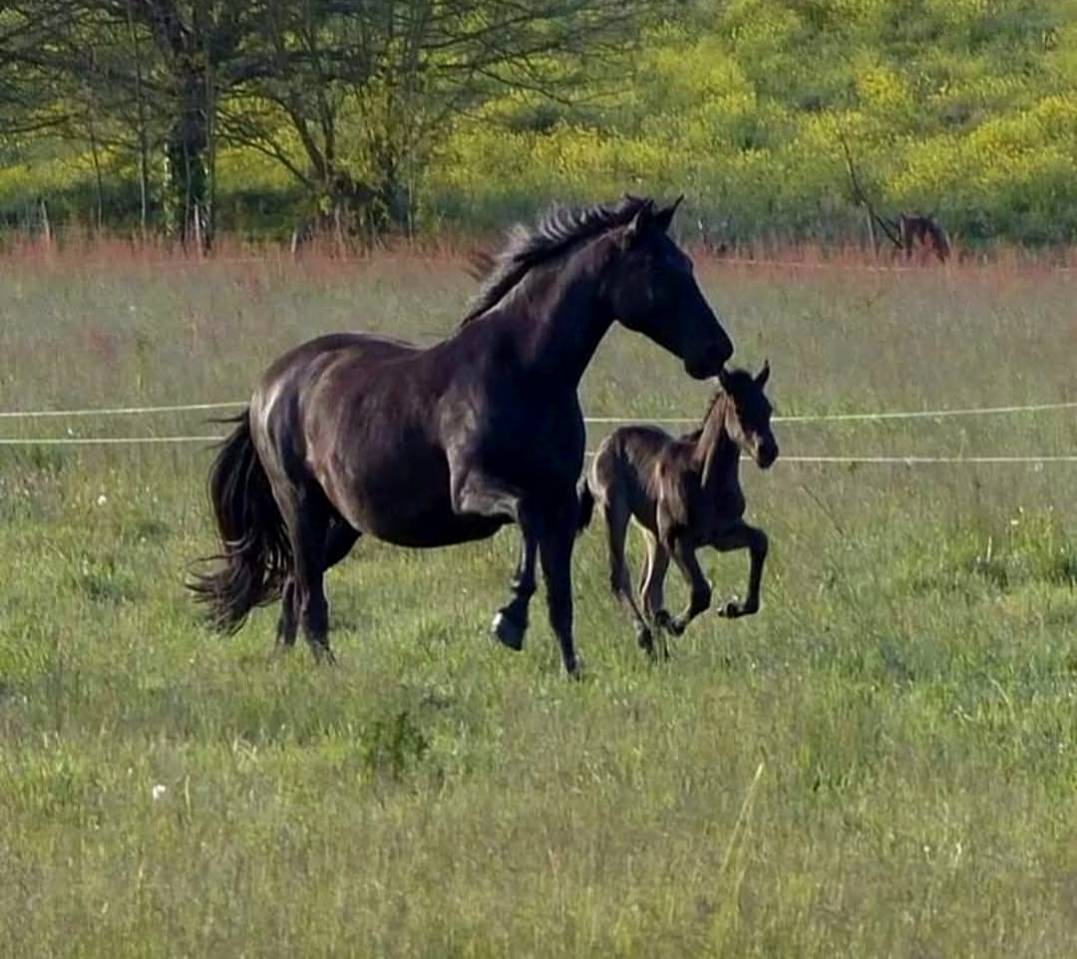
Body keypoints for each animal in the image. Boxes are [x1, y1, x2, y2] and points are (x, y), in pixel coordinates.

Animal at [189, 195, 735, 676]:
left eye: (687, 264)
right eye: (662, 270)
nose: (718, 350)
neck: (525, 370)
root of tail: (269, 385)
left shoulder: (560, 504)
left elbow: (560, 598)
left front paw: (572, 670)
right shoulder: (477, 492)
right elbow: (525, 523)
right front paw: (509, 620)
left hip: (339, 523)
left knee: (293, 588)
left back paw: (287, 665)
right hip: (300, 506)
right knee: (308, 594)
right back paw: (326, 671)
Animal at [577, 363, 777, 658]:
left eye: (768, 408)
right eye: (739, 409)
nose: (768, 451)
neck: (705, 479)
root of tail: (604, 446)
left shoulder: (722, 536)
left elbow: (760, 541)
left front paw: (732, 608)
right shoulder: (678, 540)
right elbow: (701, 592)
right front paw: (673, 623)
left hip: (653, 535)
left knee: (649, 589)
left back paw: (661, 653)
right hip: (616, 513)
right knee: (620, 577)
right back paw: (646, 637)